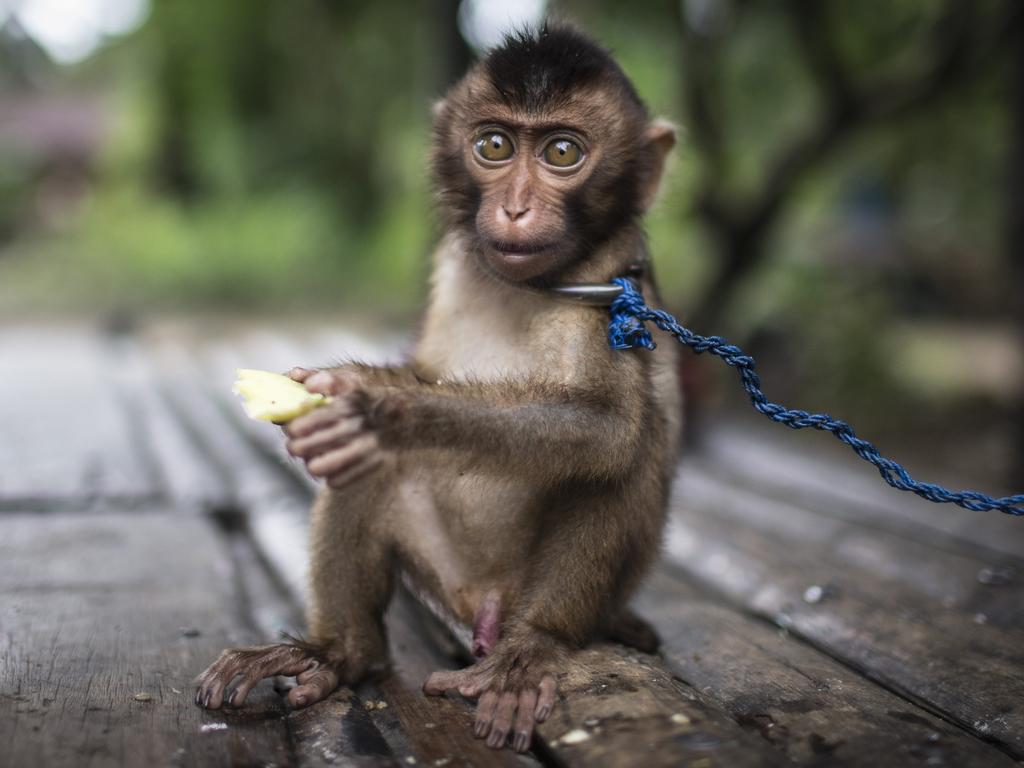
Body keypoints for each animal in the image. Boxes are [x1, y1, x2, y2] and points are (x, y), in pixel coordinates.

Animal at [197, 25, 679, 757]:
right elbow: (419, 376)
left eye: (562, 152)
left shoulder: (612, 280)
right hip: (444, 574)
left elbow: (605, 425)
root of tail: (486, 609)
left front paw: (377, 409)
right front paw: (351, 394)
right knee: (368, 475)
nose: (514, 208)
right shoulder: (453, 259)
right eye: (495, 146)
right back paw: (338, 655)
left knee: (628, 446)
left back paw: (531, 648)